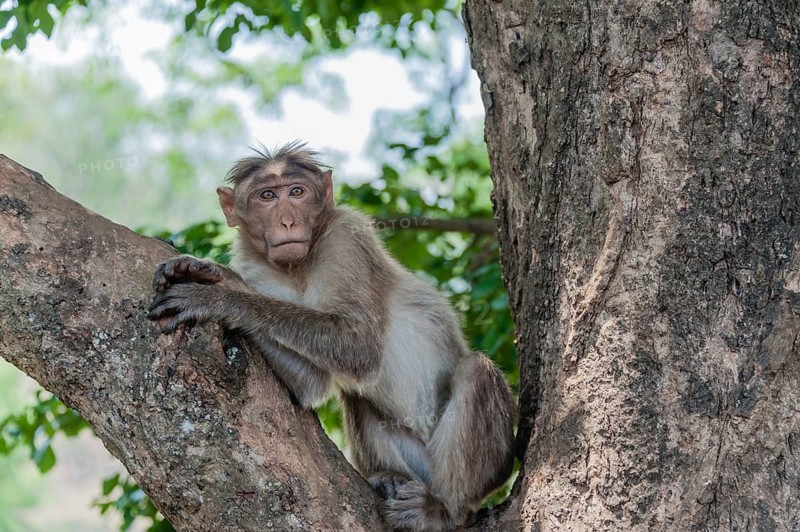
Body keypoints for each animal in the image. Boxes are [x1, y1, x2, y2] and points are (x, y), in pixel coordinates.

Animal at [147, 142, 516, 531]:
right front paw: (213, 275)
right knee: (358, 398)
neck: (297, 268)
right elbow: (310, 384)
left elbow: (357, 346)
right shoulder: (255, 266)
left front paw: (216, 296)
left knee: (475, 370)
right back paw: (389, 478)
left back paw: (445, 511)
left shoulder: (346, 236)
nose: (288, 221)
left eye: (297, 192)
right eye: (267, 196)